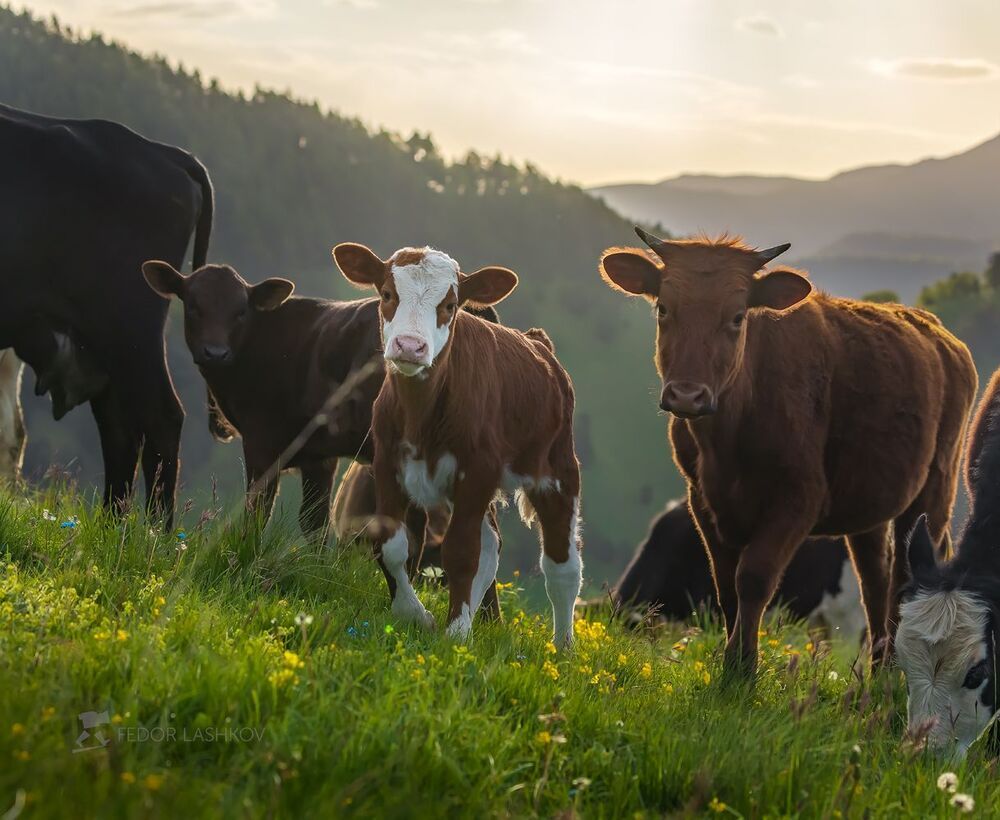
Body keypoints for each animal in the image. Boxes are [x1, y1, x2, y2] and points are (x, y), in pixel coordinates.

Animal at [0, 104, 213, 525]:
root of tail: (166, 152)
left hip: (130, 329)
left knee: (161, 419)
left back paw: (157, 534)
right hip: (104, 345)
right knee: (120, 428)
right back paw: (110, 526)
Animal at [333, 243, 582, 644]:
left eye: (449, 305)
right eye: (387, 294)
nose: (410, 346)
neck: (421, 416)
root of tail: (538, 343)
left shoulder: (477, 470)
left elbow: (462, 552)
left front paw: (455, 631)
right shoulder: (388, 463)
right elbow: (392, 543)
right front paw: (414, 613)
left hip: (557, 468)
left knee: (562, 566)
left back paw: (563, 647)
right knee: (491, 545)